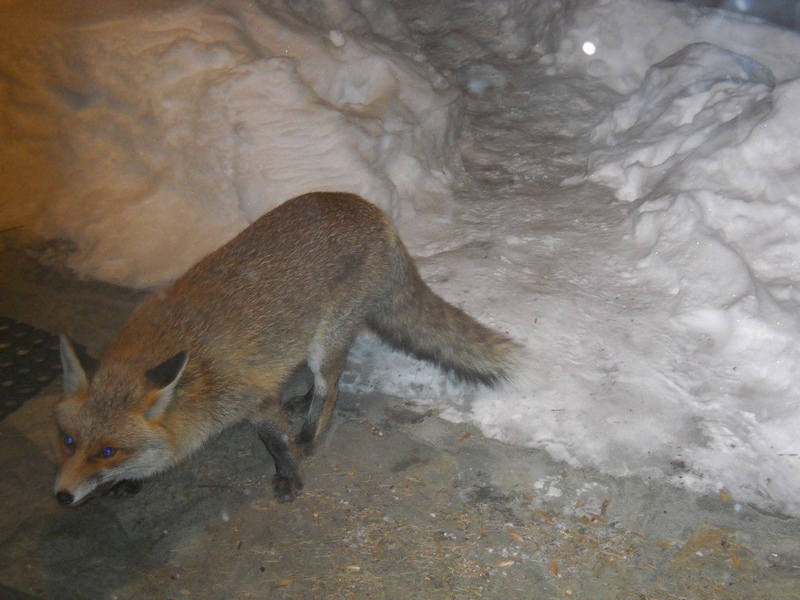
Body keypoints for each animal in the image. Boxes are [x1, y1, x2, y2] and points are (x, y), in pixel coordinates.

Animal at [53, 192, 520, 506]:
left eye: (107, 450)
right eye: (70, 440)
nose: (60, 496)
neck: (195, 373)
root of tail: (374, 210)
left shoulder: (251, 397)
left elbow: (276, 441)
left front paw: (291, 474)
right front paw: (130, 480)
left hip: (325, 339)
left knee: (331, 388)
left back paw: (310, 433)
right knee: (324, 382)